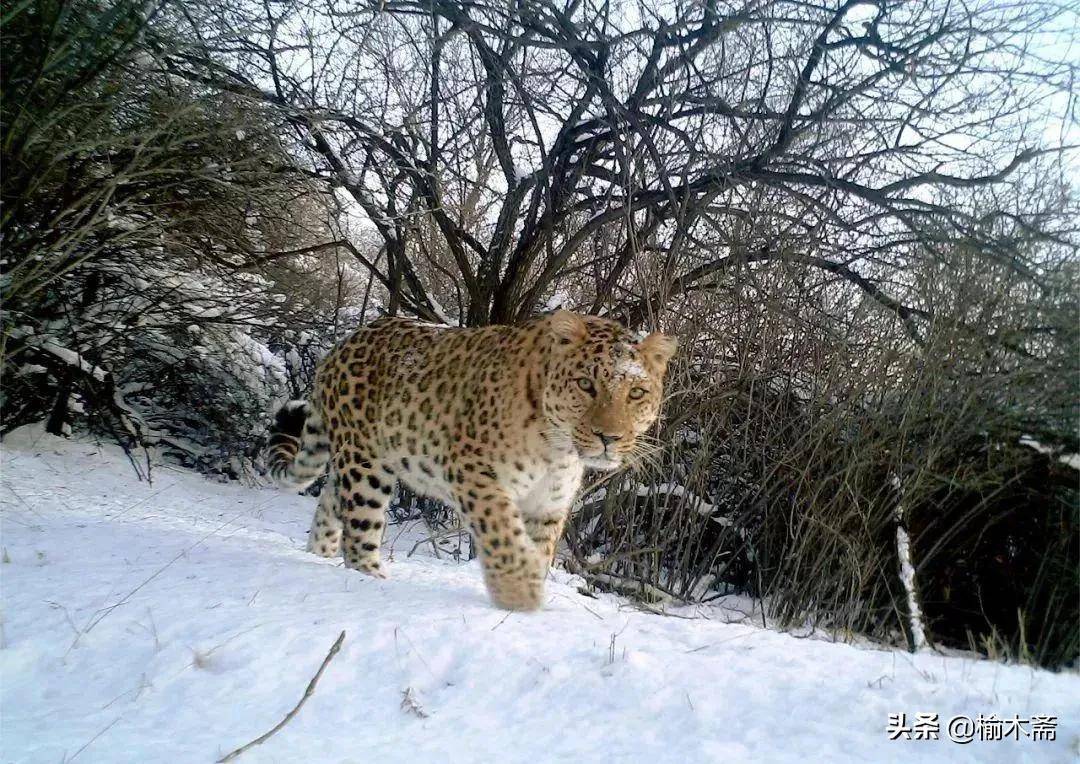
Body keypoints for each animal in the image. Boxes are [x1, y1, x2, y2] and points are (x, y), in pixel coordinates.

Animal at [264, 306, 673, 613]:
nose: (609, 437)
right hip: (366, 464)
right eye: (586, 385)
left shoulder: (548, 505)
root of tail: (340, 346)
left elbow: (539, 548)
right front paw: (519, 594)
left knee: (330, 504)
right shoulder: (474, 471)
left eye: (636, 393)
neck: (558, 450)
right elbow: (504, 534)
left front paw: (530, 593)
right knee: (360, 528)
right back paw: (371, 579)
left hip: (357, 461)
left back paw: (320, 557)